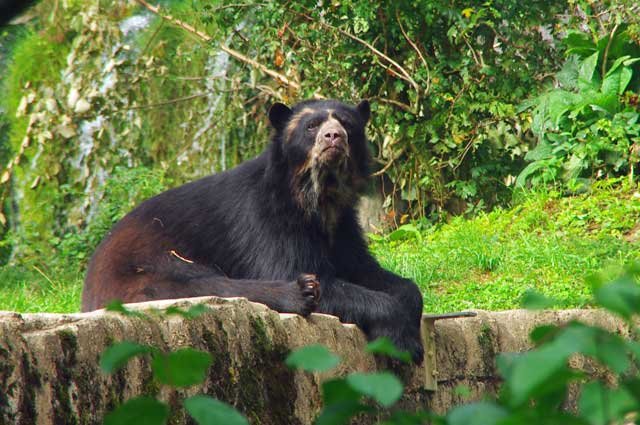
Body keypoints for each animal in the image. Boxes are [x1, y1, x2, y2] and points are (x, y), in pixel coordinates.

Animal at [84, 98, 424, 362]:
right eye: (312, 126)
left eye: (347, 123)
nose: (334, 137)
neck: (318, 197)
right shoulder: (267, 219)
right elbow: (293, 269)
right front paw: (402, 342)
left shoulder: (342, 230)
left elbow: (371, 271)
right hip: (150, 267)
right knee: (203, 286)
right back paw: (301, 292)